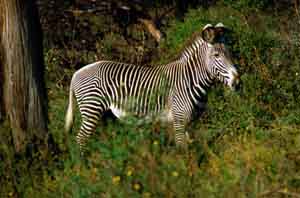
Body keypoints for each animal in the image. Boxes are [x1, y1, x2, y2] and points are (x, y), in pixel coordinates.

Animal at [65, 22, 239, 151]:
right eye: (216, 55)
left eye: (229, 53)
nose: (237, 82)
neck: (191, 79)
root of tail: (77, 73)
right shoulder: (179, 120)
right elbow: (182, 150)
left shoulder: (191, 122)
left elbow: (193, 149)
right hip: (92, 109)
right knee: (80, 139)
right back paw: (84, 168)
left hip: (105, 115)